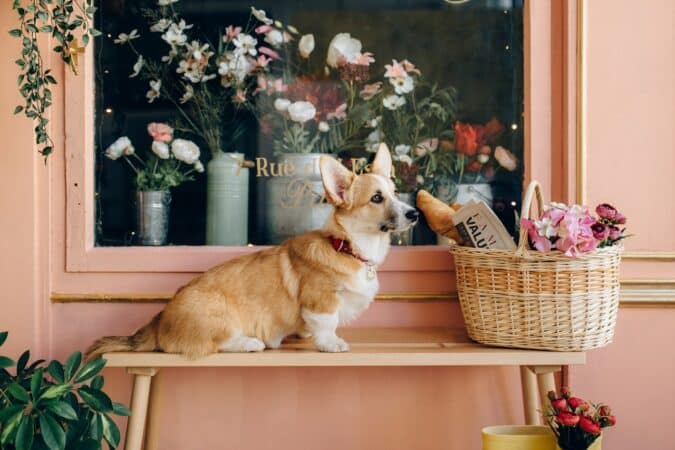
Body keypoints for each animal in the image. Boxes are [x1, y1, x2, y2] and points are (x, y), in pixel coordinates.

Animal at [86, 144, 418, 358]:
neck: (347, 246)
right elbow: (327, 324)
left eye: (395, 193)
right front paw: (331, 344)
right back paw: (250, 343)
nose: (414, 214)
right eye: (377, 198)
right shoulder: (321, 300)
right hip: (222, 319)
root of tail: (157, 321)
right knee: (215, 345)